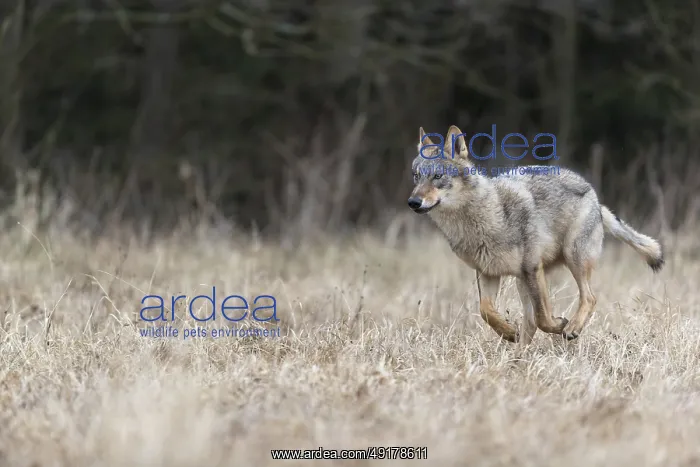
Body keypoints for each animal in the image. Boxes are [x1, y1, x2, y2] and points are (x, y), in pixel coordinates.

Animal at [408, 125, 664, 345]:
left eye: (437, 176)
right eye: (416, 176)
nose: (413, 202)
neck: (486, 217)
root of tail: (594, 197)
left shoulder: (532, 268)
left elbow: (543, 318)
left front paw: (560, 325)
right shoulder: (488, 273)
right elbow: (486, 311)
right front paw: (508, 332)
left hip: (572, 259)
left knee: (589, 298)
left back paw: (571, 329)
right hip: (524, 280)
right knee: (530, 321)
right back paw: (518, 358)